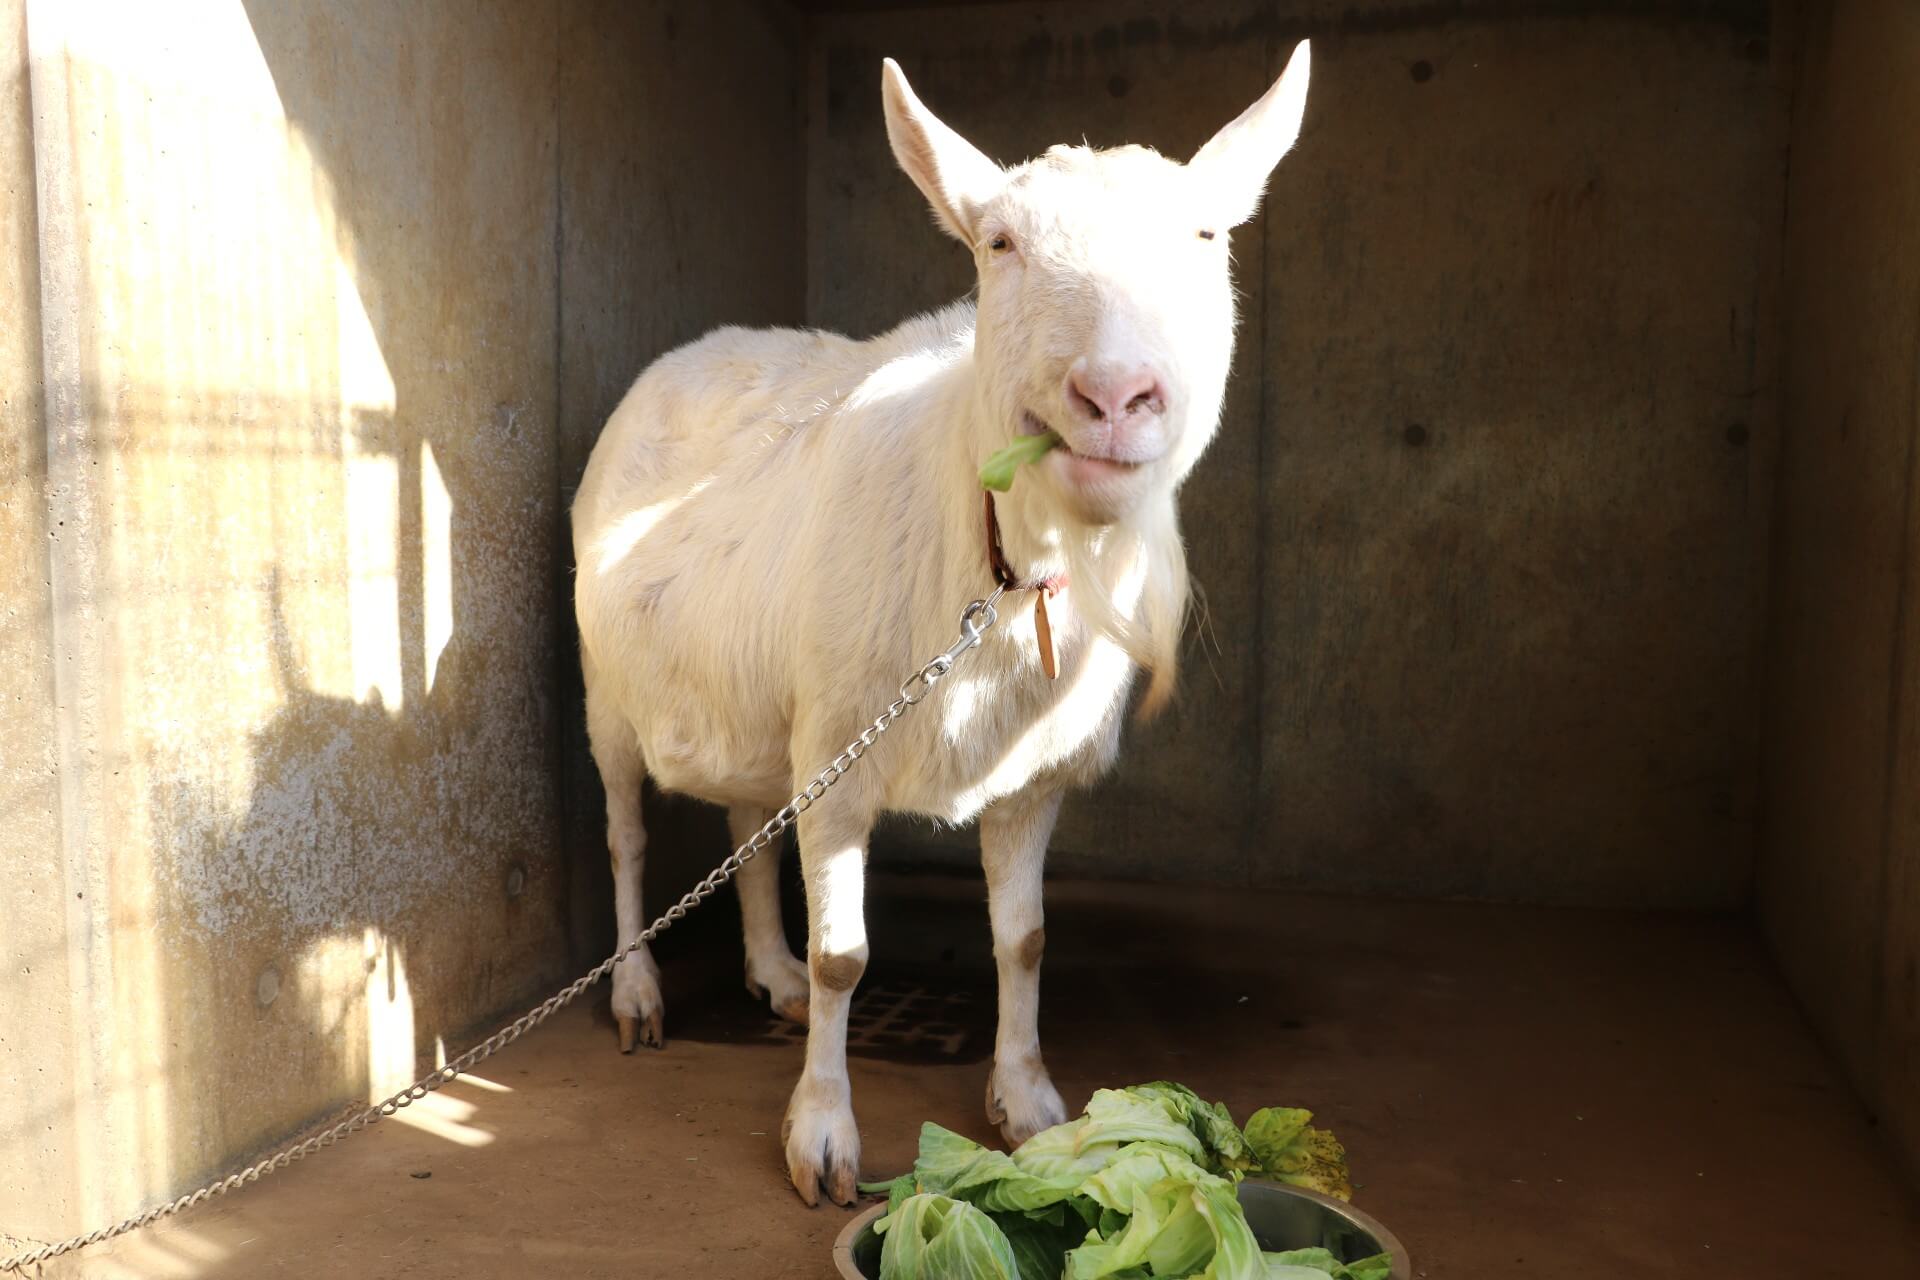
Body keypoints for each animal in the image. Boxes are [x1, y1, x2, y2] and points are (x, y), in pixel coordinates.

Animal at [568, 45, 1313, 1205]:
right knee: (626, 830)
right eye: (998, 243)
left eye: (1204, 236)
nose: (1115, 395)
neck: (1002, 571)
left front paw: (1030, 1100)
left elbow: (1027, 939)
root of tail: (692, 351)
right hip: (608, 686)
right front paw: (823, 1135)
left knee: (744, 820)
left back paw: (770, 969)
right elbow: (849, 957)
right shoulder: (839, 745)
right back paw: (640, 991)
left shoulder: (1030, 775)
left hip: (760, 696)